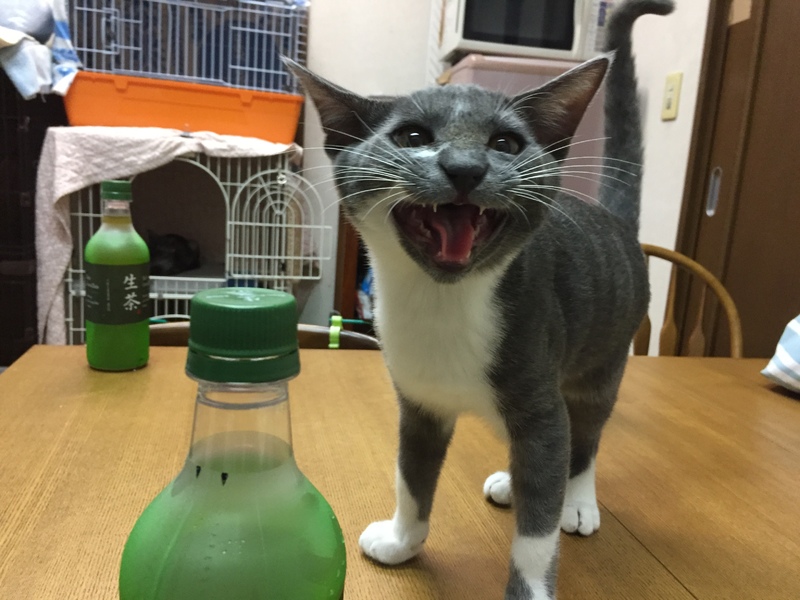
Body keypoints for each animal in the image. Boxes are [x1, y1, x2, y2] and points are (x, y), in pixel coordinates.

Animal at [288, 1, 674, 598]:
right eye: (412, 135)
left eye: (506, 144)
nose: (465, 168)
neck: (441, 304)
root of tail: (614, 219)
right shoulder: (417, 403)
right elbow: (412, 478)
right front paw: (402, 541)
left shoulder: (538, 393)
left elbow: (537, 534)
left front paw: (530, 587)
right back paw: (516, 483)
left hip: (604, 357)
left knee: (582, 434)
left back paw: (576, 500)